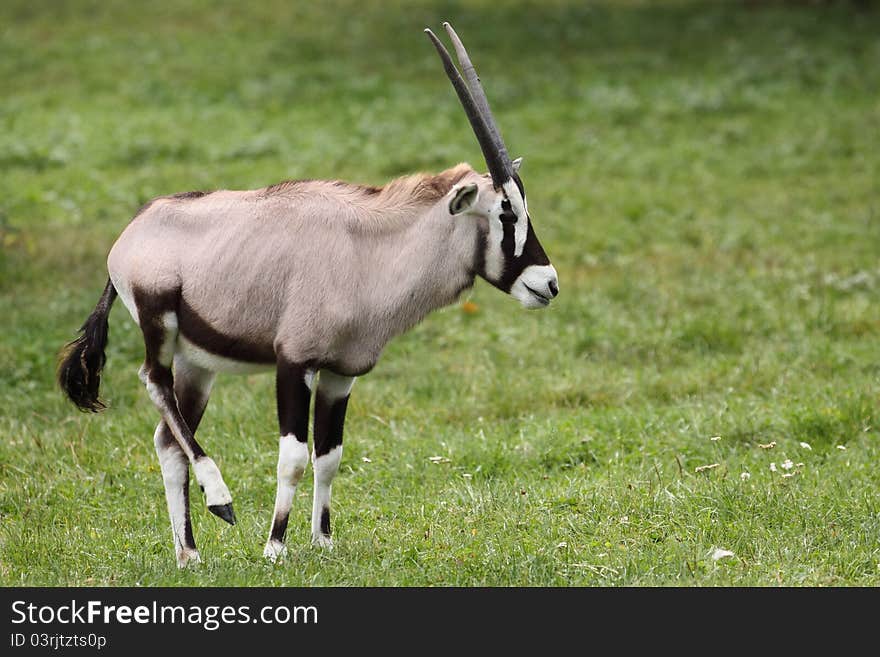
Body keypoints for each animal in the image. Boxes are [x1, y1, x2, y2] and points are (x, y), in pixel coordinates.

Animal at [60, 23, 556, 568]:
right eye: (506, 213)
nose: (548, 283)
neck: (367, 249)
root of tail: (129, 235)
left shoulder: (341, 373)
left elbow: (329, 455)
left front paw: (323, 540)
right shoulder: (293, 363)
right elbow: (293, 457)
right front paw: (275, 546)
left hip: (198, 365)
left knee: (169, 441)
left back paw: (188, 553)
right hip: (159, 328)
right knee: (153, 382)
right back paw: (220, 500)